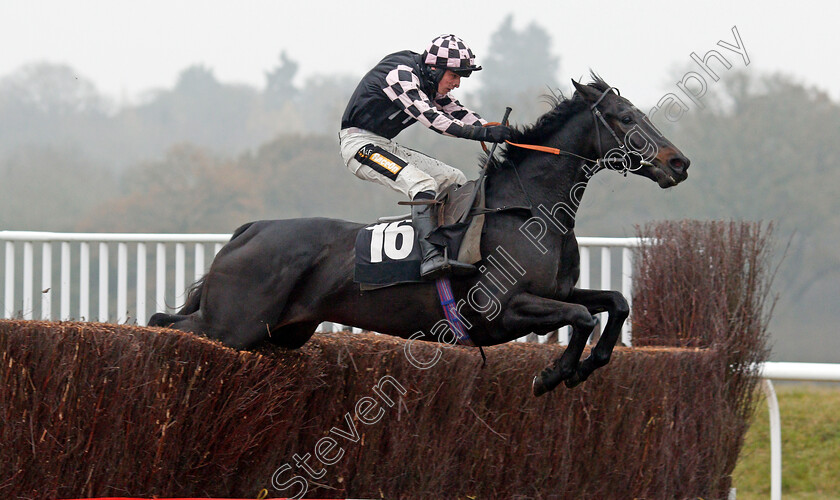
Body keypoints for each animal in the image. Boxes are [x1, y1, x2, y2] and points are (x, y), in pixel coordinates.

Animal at [149, 75, 688, 394]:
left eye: (642, 113)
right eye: (625, 117)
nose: (678, 162)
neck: (527, 209)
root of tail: (249, 230)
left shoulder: (553, 292)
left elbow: (614, 303)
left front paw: (587, 364)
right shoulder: (501, 311)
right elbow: (581, 316)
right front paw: (553, 373)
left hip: (281, 333)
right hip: (233, 324)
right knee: (167, 324)